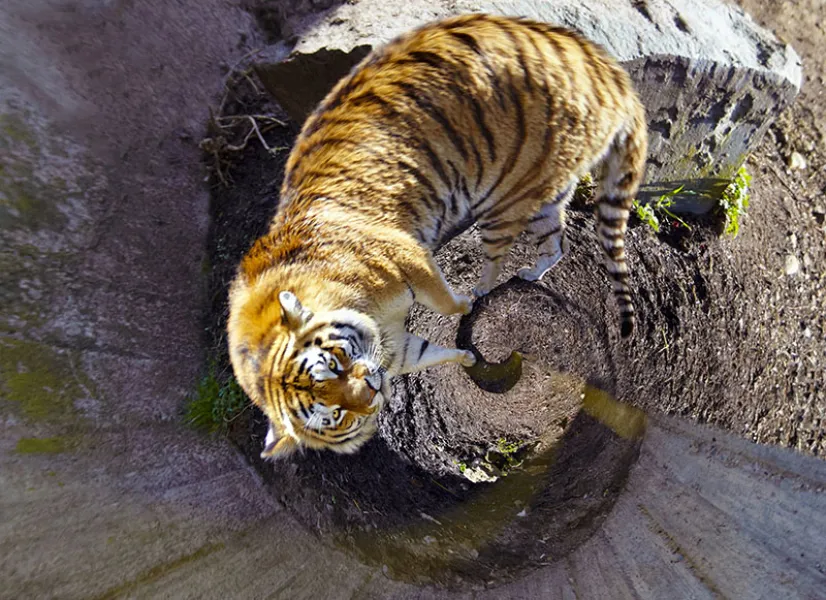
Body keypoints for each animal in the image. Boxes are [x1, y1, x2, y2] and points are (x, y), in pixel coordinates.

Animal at [227, 13, 648, 459]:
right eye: (335, 414)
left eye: (336, 366)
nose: (373, 392)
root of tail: (603, 66)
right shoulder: (396, 347)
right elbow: (428, 352)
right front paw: (464, 358)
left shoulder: (409, 258)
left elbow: (443, 299)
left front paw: (462, 307)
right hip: (543, 196)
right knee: (557, 244)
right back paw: (531, 274)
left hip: (502, 198)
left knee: (499, 255)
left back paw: (482, 290)